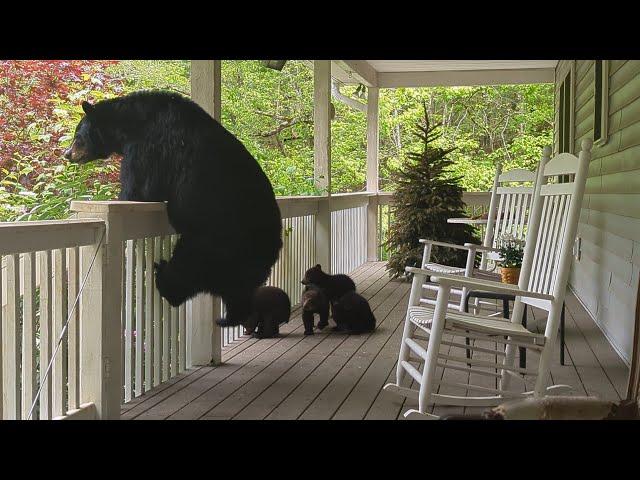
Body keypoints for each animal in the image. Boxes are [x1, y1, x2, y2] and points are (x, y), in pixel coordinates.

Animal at [65, 91, 282, 330]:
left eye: (78, 136)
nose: (67, 154)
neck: (132, 122)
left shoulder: (149, 147)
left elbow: (138, 188)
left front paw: (125, 195)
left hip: (211, 242)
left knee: (184, 271)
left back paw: (164, 276)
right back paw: (228, 317)